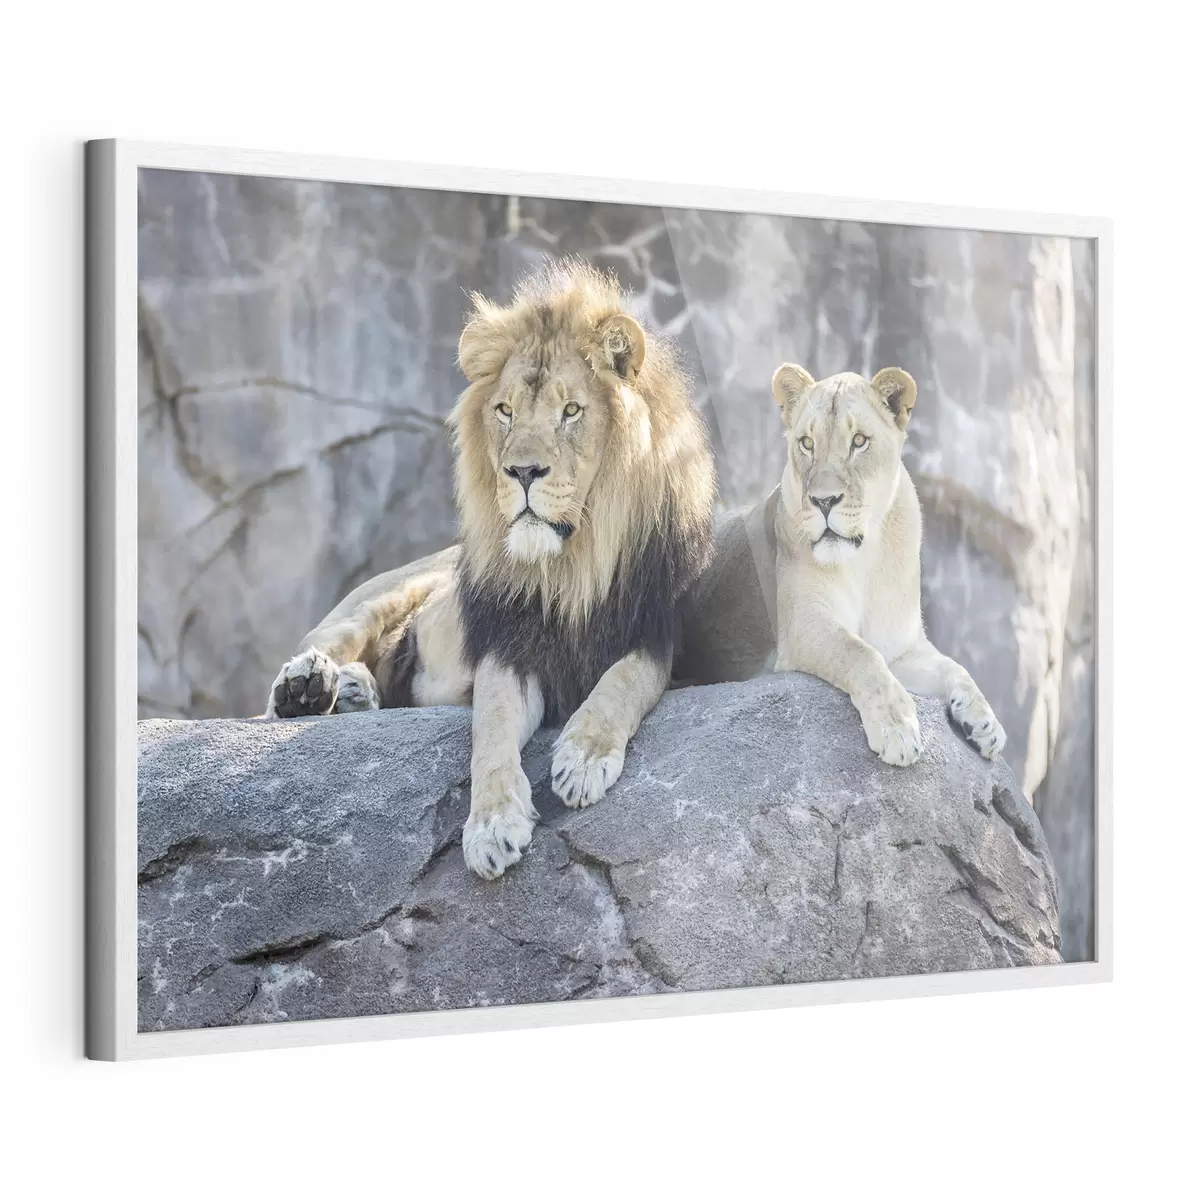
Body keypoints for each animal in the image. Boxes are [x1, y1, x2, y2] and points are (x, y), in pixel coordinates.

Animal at [265, 261, 716, 879]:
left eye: (570, 411)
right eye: (505, 411)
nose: (521, 471)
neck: (568, 566)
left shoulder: (654, 634)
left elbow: (623, 683)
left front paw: (582, 758)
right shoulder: (507, 646)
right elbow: (493, 727)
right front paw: (492, 825)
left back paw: (354, 691)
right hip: (384, 593)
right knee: (319, 653)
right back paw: (308, 685)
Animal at [762, 363, 1006, 766]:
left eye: (859, 441)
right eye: (807, 443)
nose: (823, 501)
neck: (863, 560)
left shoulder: (902, 646)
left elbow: (954, 667)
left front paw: (985, 723)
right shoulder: (801, 626)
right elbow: (859, 653)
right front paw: (897, 728)